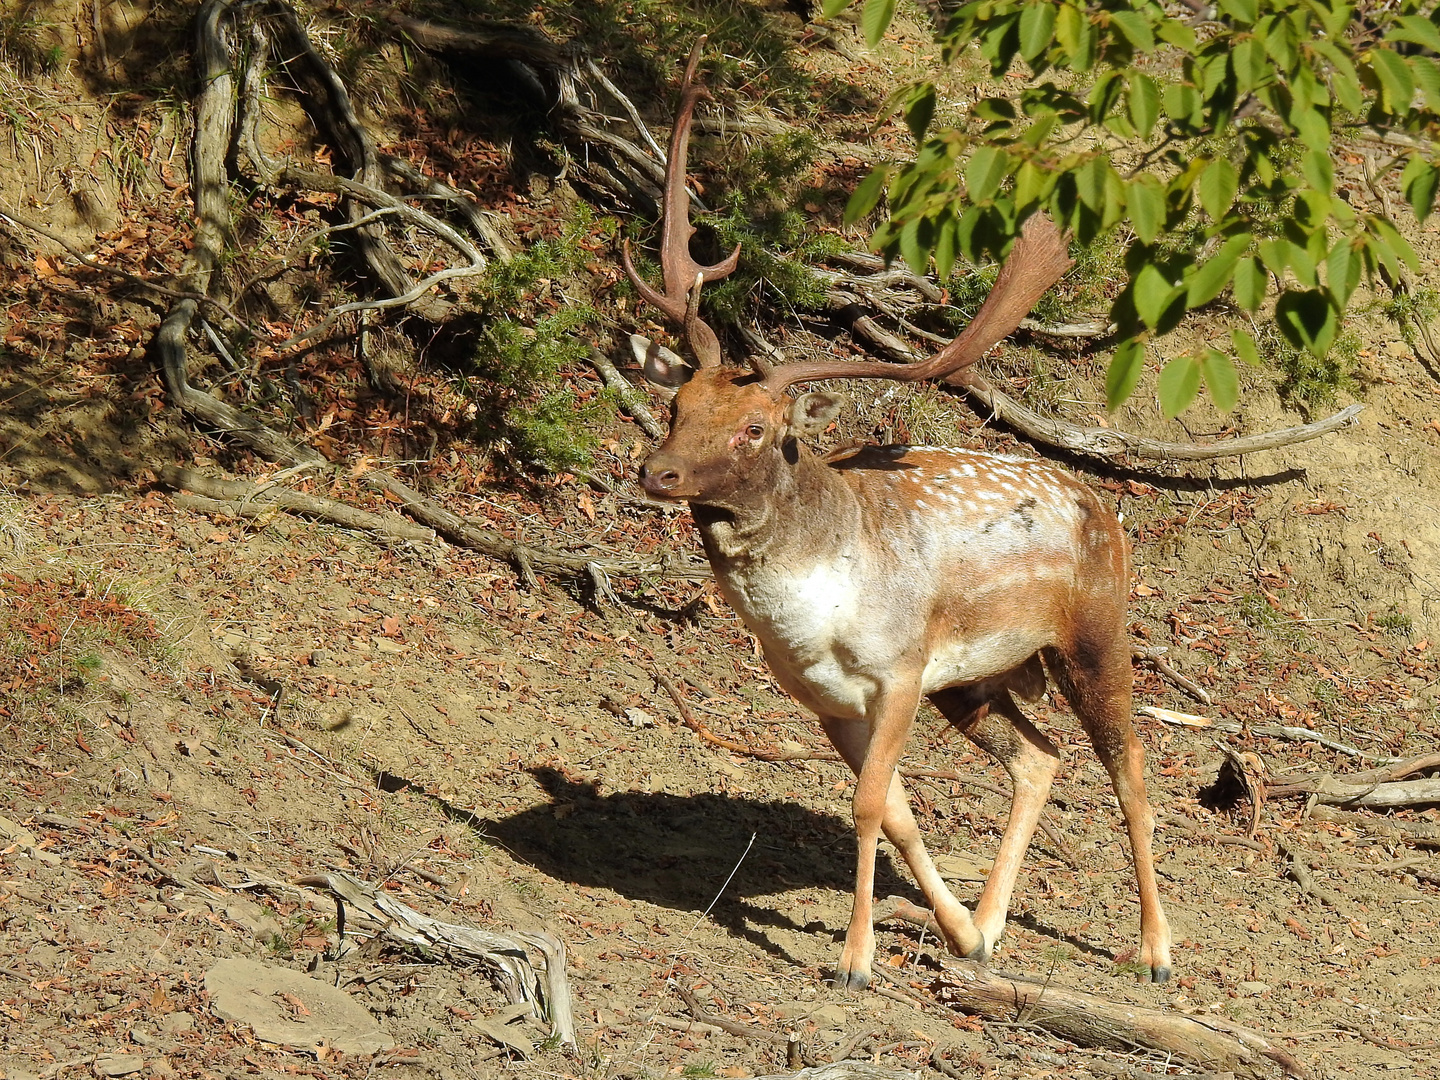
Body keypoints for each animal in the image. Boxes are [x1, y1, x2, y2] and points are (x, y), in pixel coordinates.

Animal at [627, 42, 1169, 996]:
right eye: (678, 405)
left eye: (756, 427)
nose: (659, 472)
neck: (815, 617)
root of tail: (1106, 509)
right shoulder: (827, 699)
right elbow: (899, 811)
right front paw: (953, 933)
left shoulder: (902, 668)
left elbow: (869, 802)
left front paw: (855, 960)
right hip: (979, 681)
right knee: (1042, 758)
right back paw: (989, 927)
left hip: (1095, 633)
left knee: (1129, 765)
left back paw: (1155, 951)